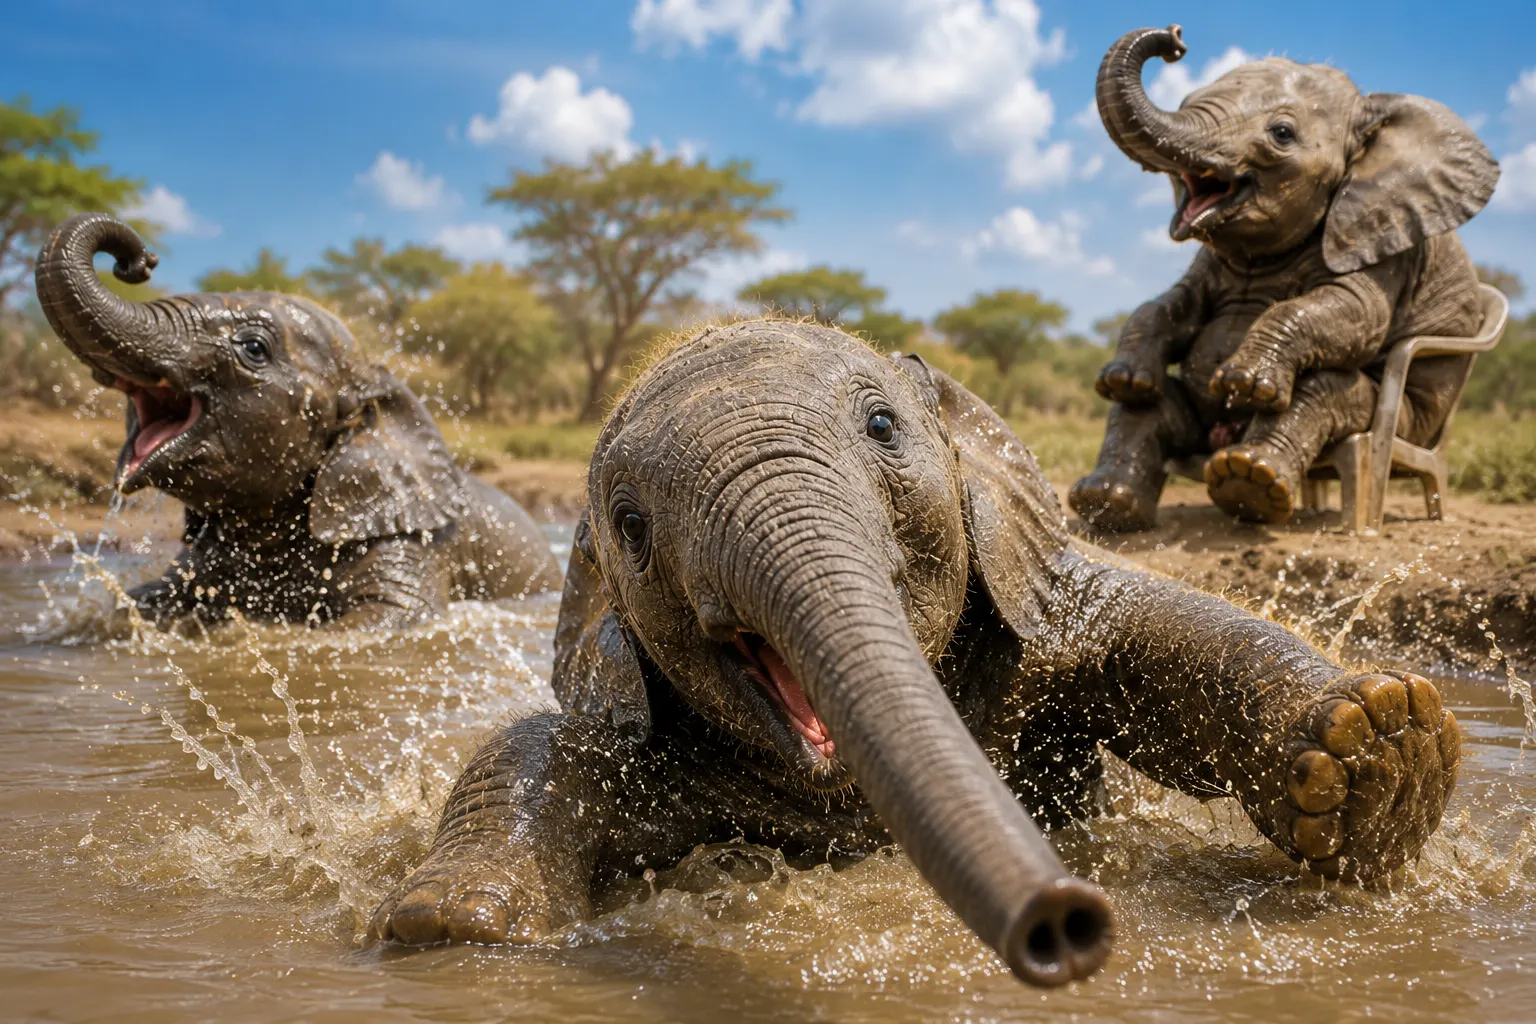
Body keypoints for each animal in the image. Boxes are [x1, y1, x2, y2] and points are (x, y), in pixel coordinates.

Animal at [368, 320, 1460, 987]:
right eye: (630, 526)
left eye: (884, 425)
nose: (1065, 923)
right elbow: (536, 749)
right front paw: (454, 926)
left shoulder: (1040, 609)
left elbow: (1165, 625)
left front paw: (1382, 753)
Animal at [1070, 25, 1499, 531]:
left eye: (1281, 134)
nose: (1174, 39)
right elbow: (1172, 304)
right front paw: (1122, 377)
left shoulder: (1385, 238)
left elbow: (1354, 311)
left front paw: (1243, 381)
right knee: (1149, 408)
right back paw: (1108, 498)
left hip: (1409, 426)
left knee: (1323, 389)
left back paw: (1250, 481)